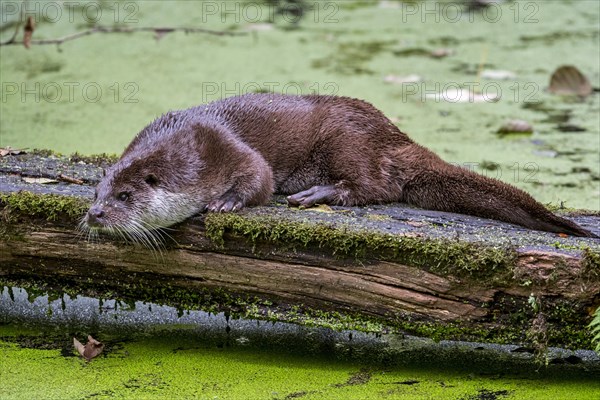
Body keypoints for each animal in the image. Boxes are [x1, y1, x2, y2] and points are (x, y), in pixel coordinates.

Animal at [83, 92, 596, 239]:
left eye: (126, 196)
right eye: (97, 193)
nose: (94, 215)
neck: (185, 147)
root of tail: (395, 134)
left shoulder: (223, 147)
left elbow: (259, 177)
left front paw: (226, 203)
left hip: (346, 138)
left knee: (379, 186)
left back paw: (320, 193)